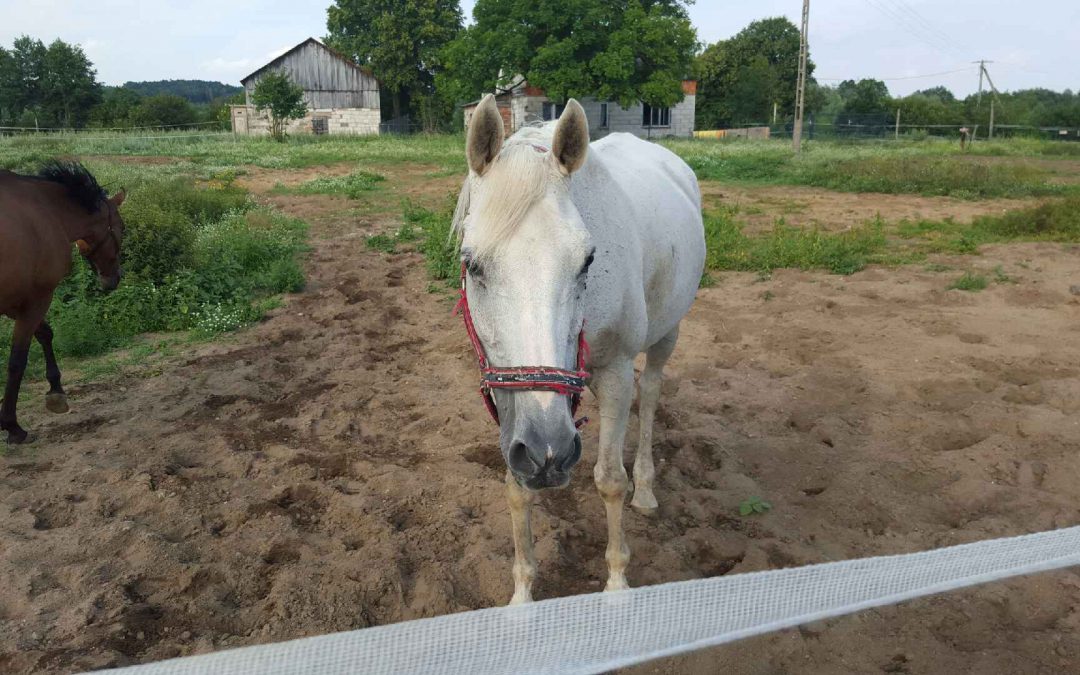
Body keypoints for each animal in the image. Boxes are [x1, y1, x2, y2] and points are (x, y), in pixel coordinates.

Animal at [0, 163, 125, 442]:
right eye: (122, 229)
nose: (114, 279)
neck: (46, 212)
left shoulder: (15, 303)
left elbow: (45, 334)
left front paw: (55, 390)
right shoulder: (37, 298)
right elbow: (17, 361)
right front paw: (12, 425)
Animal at [451, 93, 704, 600]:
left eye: (588, 260)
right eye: (472, 264)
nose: (549, 451)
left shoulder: (615, 372)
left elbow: (610, 480)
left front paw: (617, 587)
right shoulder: (508, 396)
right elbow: (516, 485)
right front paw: (522, 595)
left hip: (667, 333)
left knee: (649, 395)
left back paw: (646, 487)